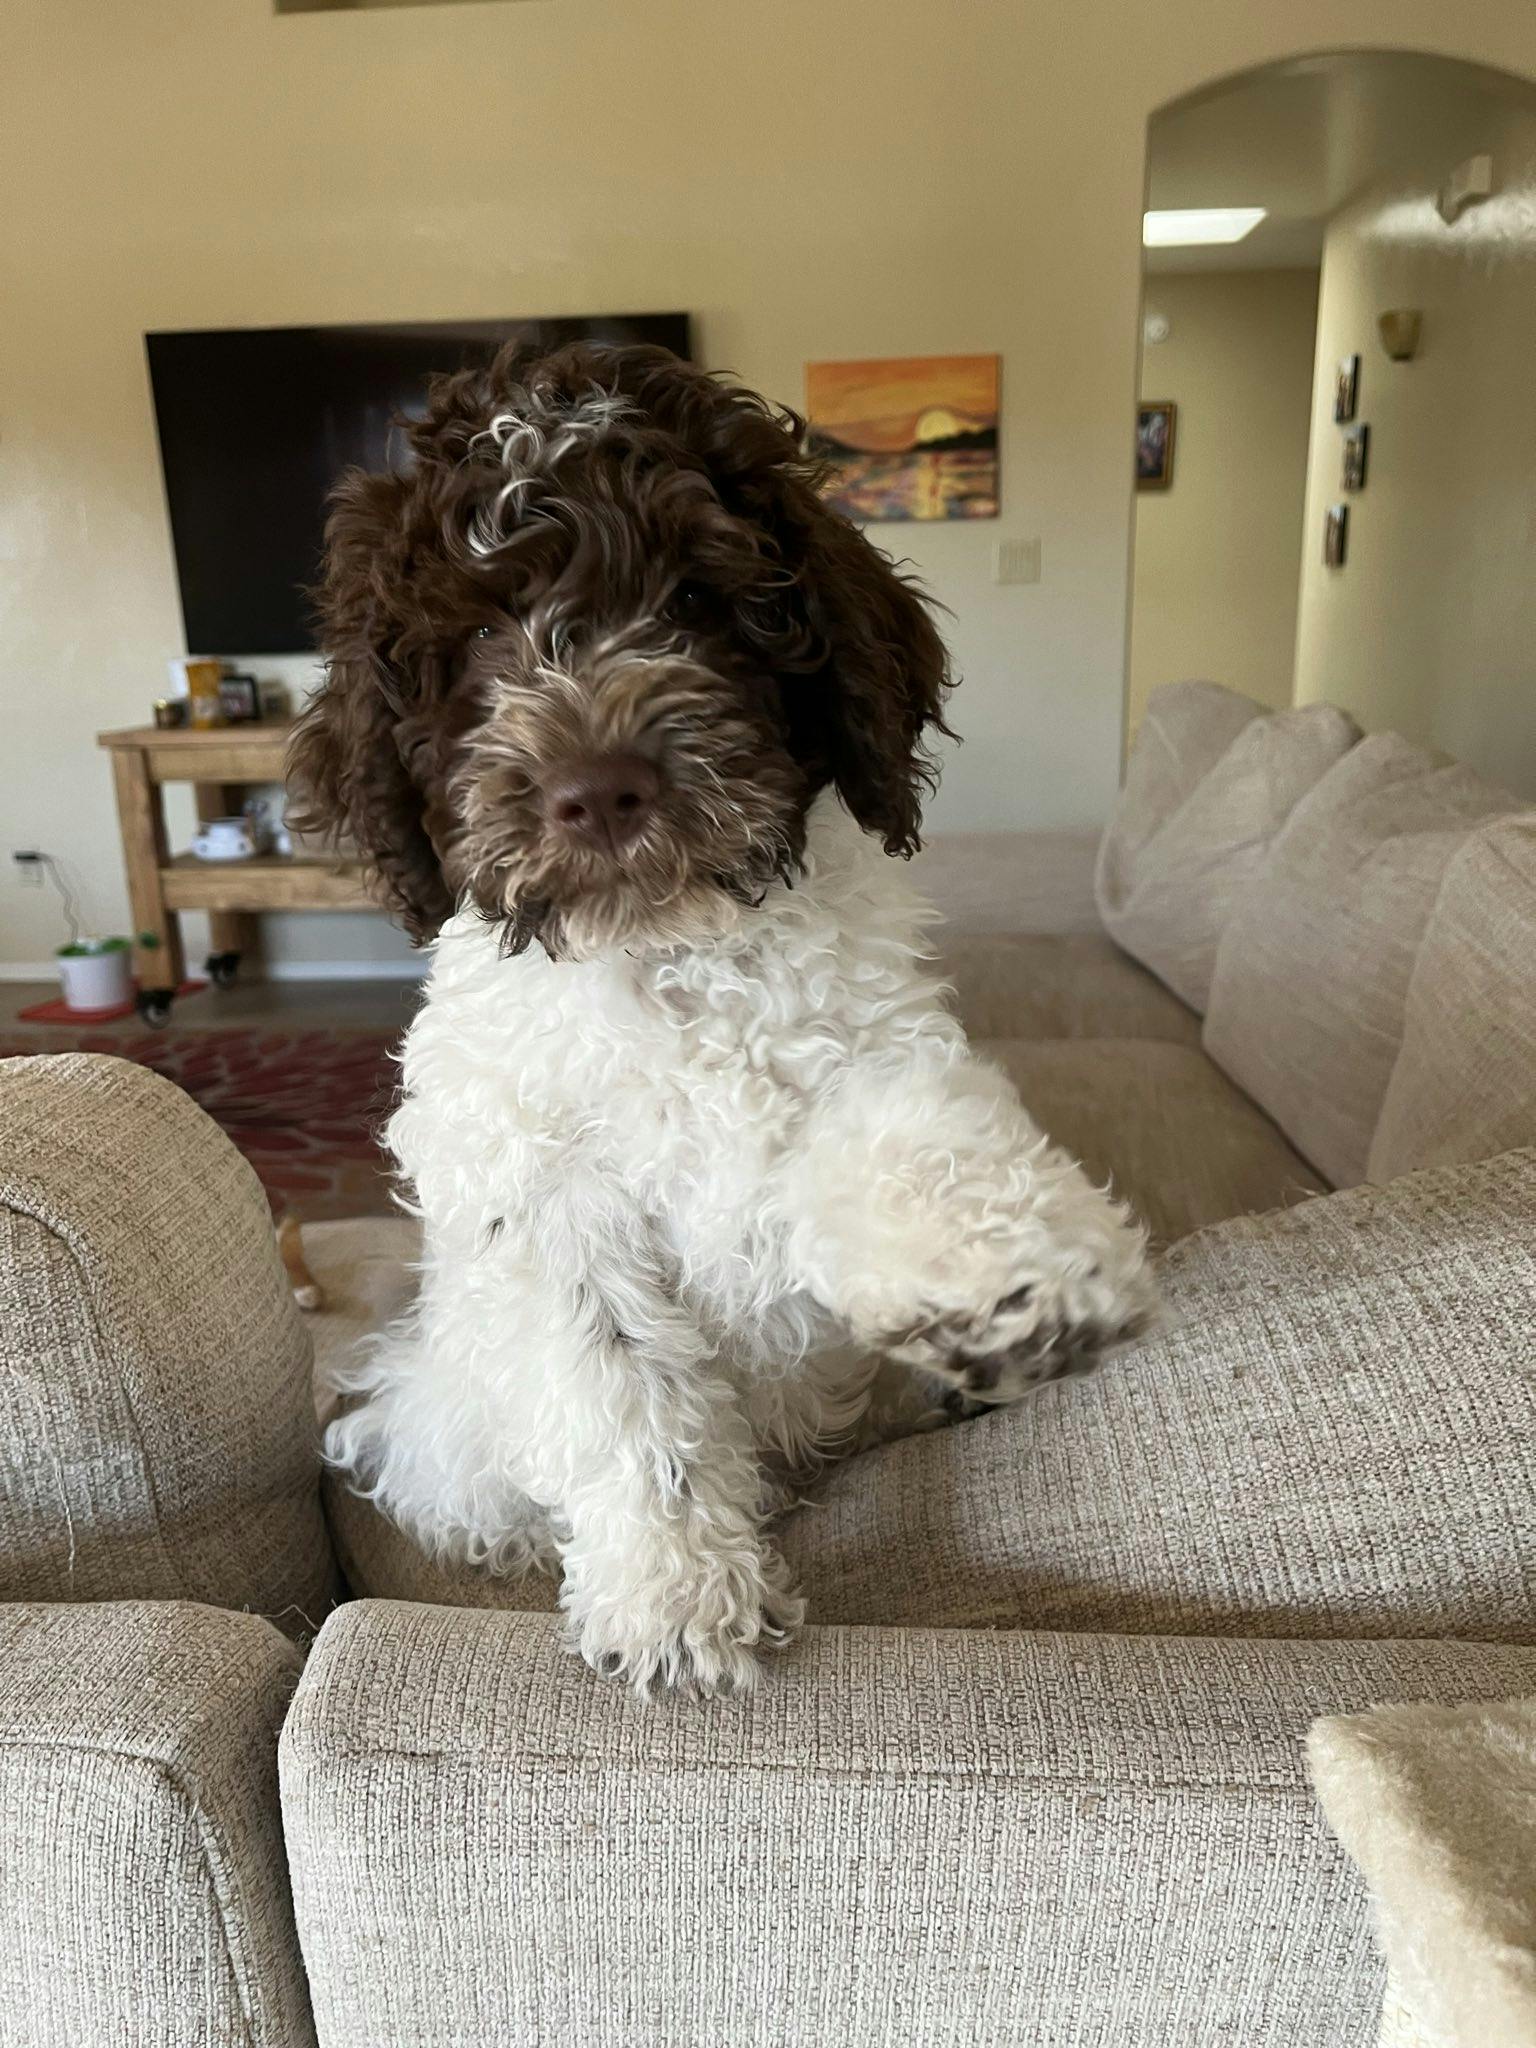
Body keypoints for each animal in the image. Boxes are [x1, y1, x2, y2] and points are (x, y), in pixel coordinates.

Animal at [294, 339, 1155, 1695]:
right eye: (481, 633)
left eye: (700, 600)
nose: (599, 789)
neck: (669, 952)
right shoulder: (546, 1200)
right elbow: (622, 1386)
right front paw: (675, 1592)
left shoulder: (866, 1042)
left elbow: (920, 1144)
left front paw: (1019, 1276)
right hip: (442, 1411)